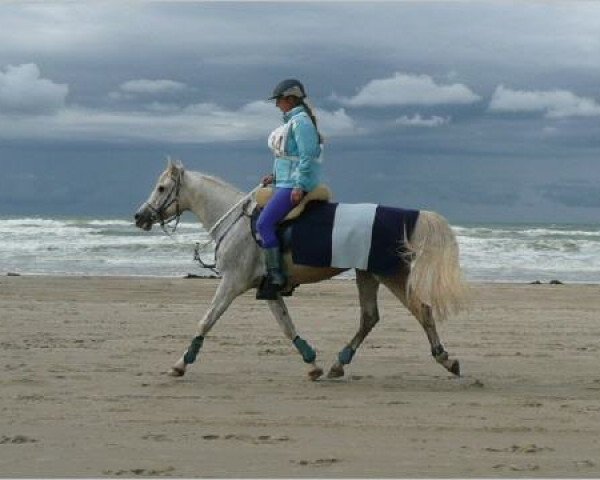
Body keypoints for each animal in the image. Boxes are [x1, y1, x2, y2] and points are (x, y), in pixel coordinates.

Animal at [135, 159, 468, 380]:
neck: (238, 224)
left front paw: (181, 362)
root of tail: (411, 216)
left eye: (161, 188)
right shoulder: (266, 288)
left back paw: (446, 360)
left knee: (421, 311)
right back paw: (338, 364)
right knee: (370, 317)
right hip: (367, 275)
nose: (139, 216)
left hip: (389, 274)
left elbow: (206, 320)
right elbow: (286, 325)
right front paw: (312, 363)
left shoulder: (231, 282)